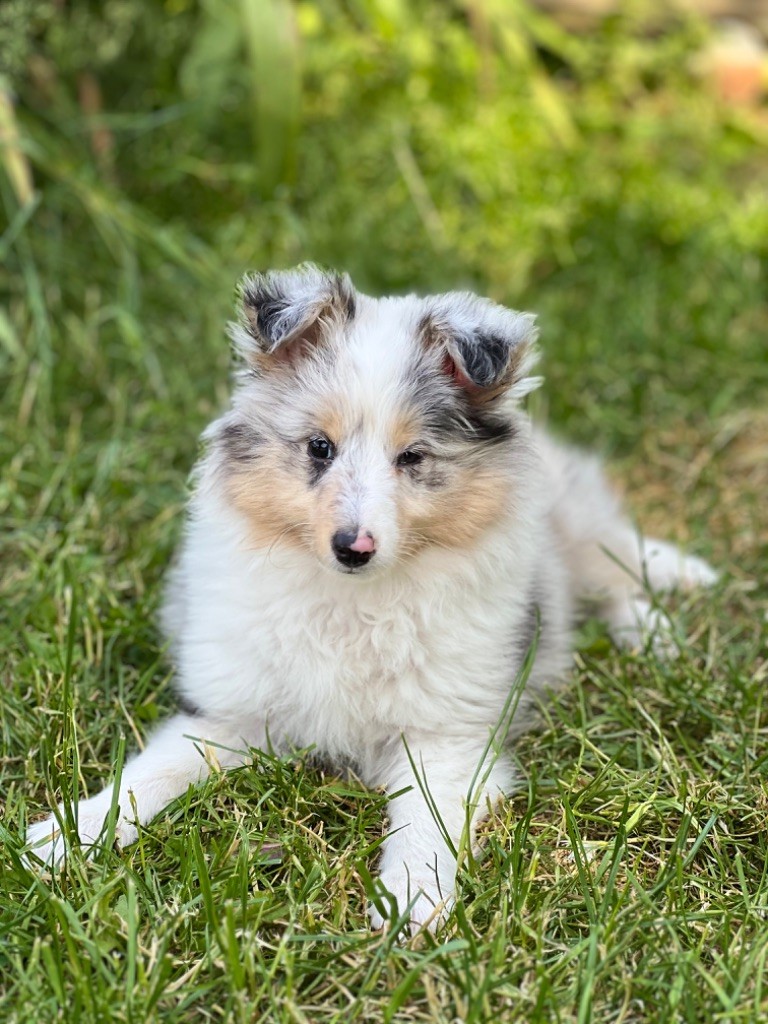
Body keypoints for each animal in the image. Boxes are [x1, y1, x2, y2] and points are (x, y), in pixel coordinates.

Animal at [25, 266, 720, 937]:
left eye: (412, 457)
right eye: (319, 447)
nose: (352, 547)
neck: (352, 600)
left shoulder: (445, 736)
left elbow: (424, 822)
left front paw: (411, 901)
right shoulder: (232, 712)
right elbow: (155, 770)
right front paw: (67, 837)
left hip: (573, 524)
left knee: (616, 561)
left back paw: (660, 622)